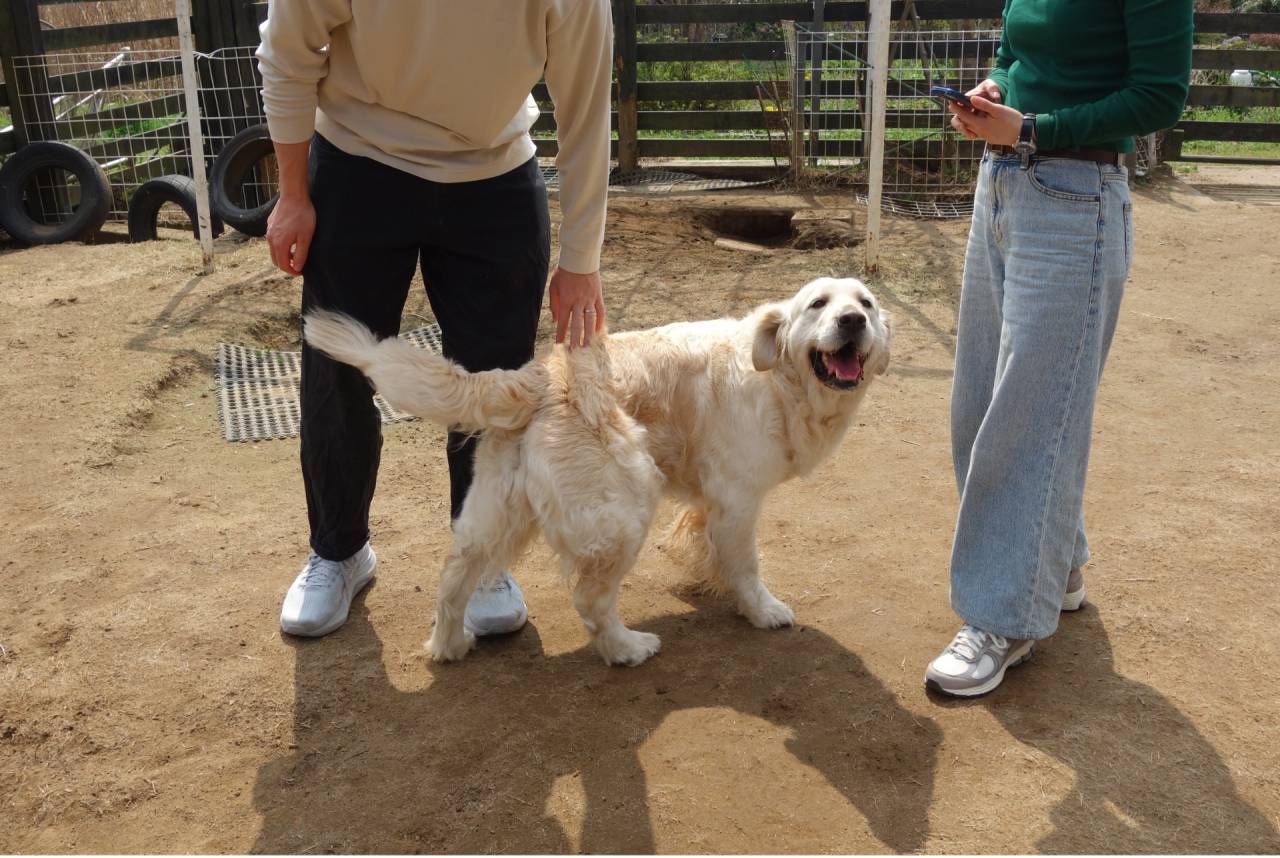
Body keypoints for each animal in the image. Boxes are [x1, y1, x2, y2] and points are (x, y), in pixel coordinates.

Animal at [303, 277, 891, 666]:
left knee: (452, 580)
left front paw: (703, 575)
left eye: (865, 303)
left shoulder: (713, 496)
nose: (853, 321)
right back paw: (628, 647)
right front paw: (761, 610)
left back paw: (448, 647)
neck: (779, 381)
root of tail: (538, 375)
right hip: (623, 509)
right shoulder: (738, 497)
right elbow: (746, 565)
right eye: (818, 304)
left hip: (494, 513)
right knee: (589, 598)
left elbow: (702, 538)